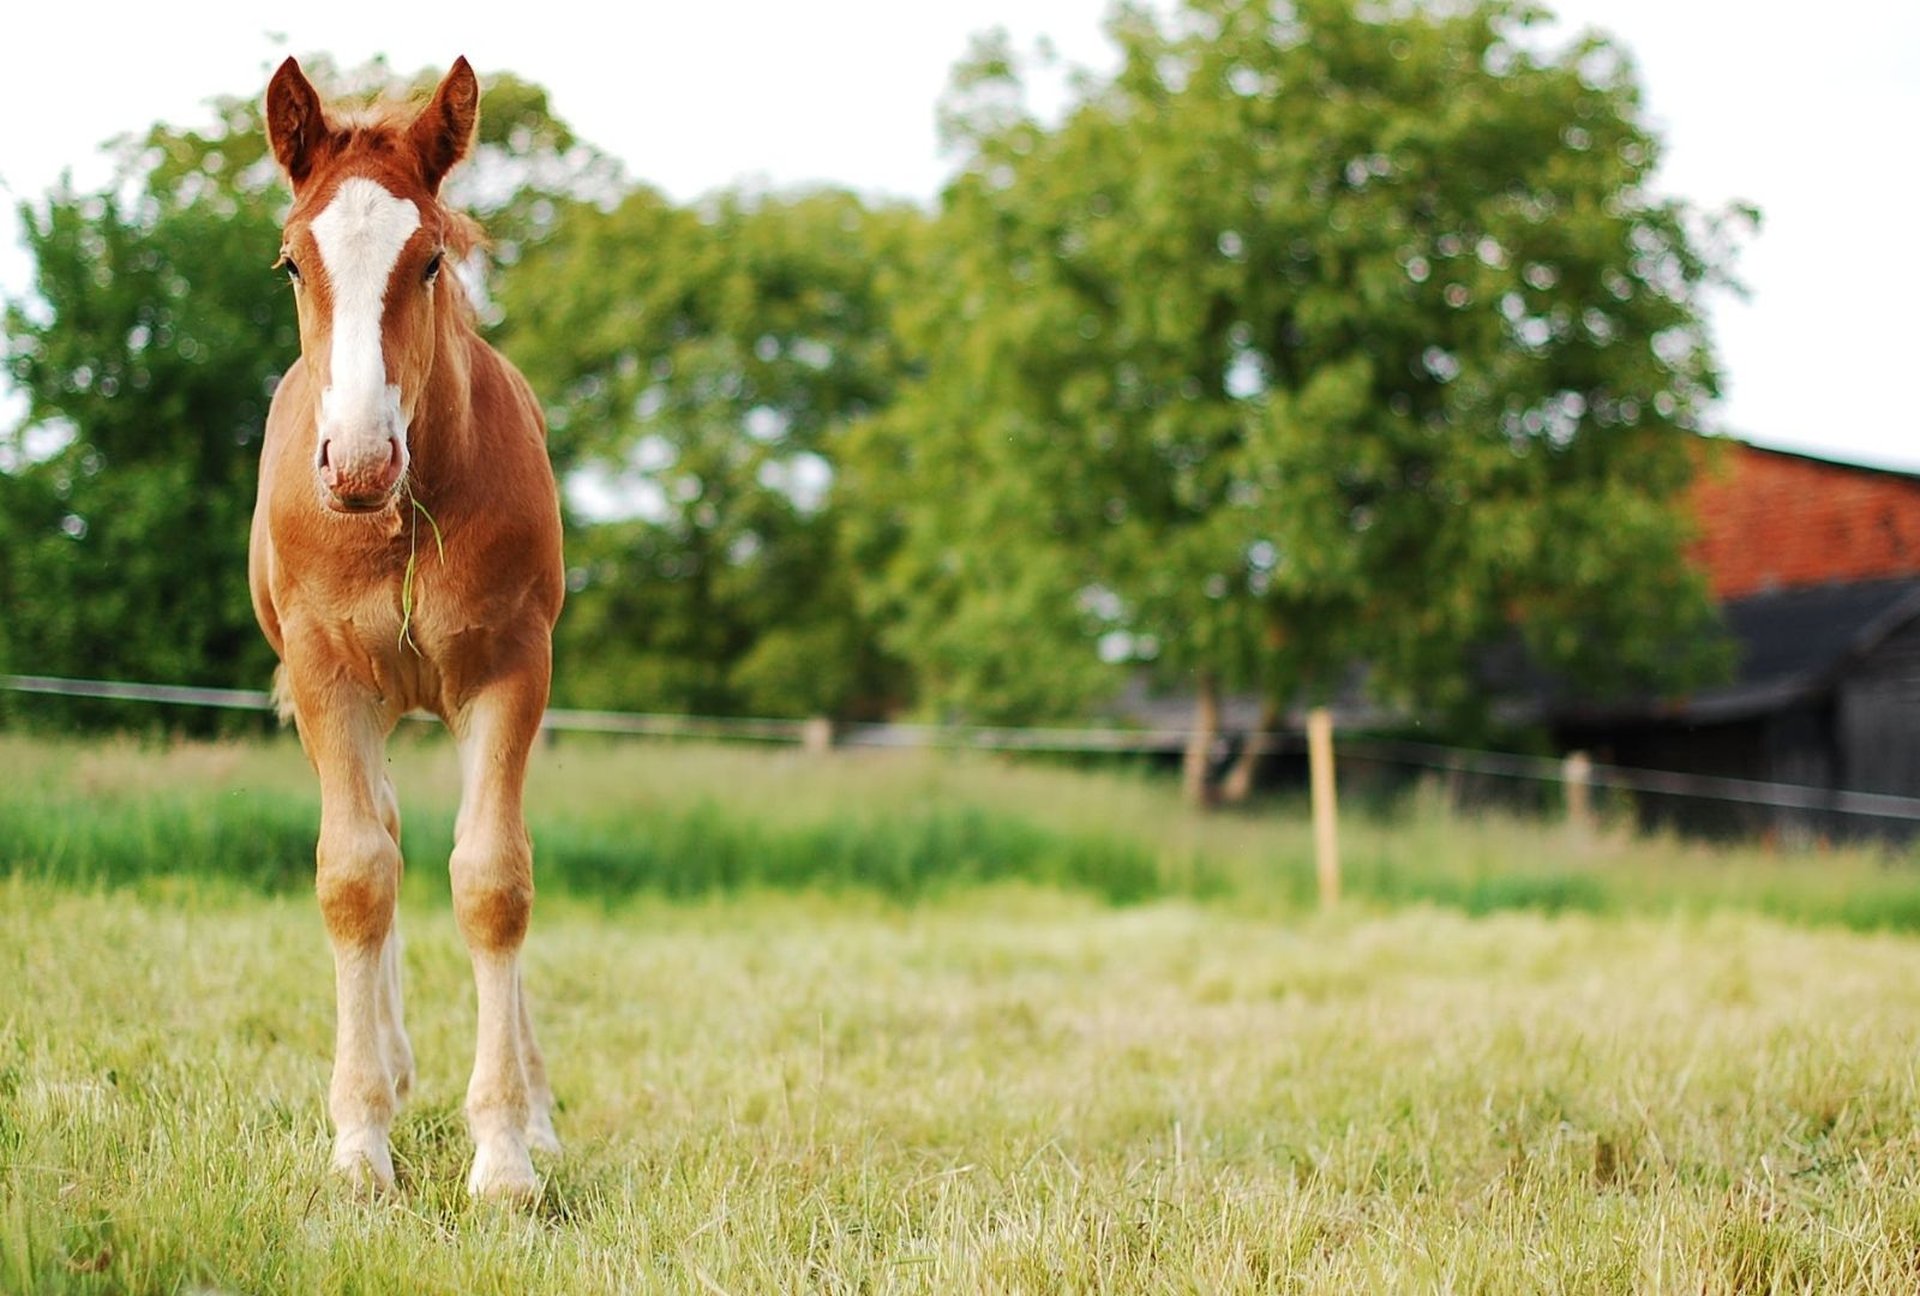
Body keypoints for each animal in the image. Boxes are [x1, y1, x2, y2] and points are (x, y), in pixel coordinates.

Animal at [250, 56, 566, 1200]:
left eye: (430, 259)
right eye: (290, 263)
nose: (356, 460)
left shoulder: (512, 672)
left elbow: (494, 880)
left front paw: (508, 1154)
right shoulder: (328, 679)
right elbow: (354, 877)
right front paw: (359, 1146)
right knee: (376, 837)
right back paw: (384, 1066)